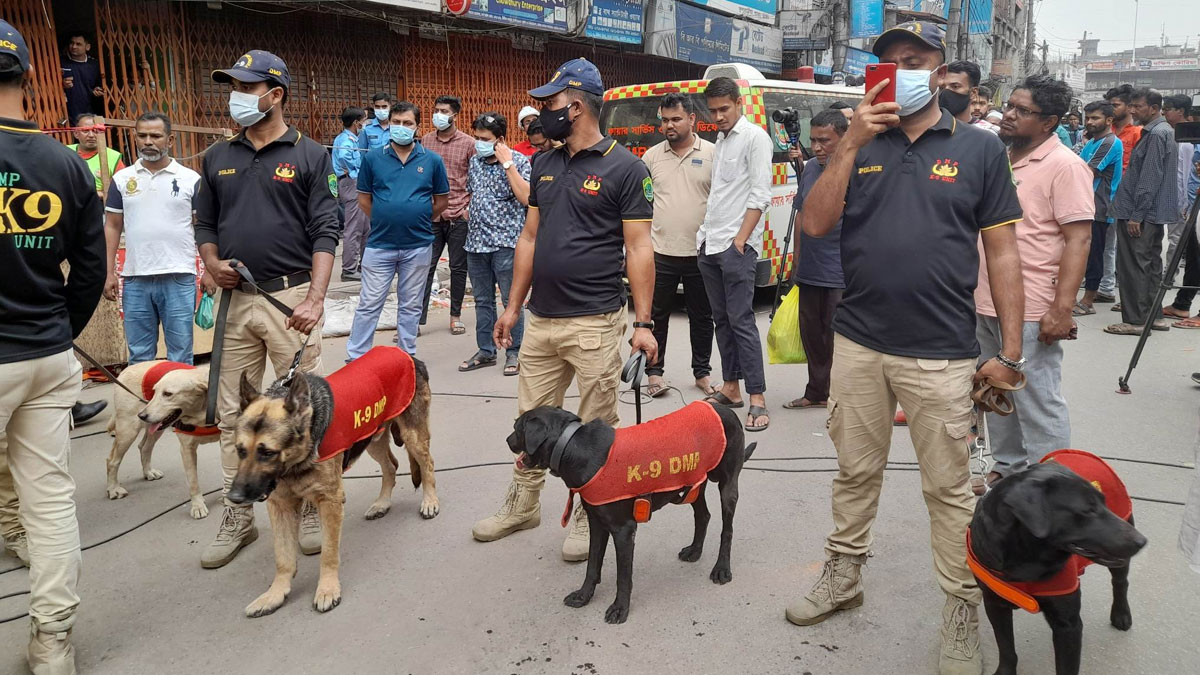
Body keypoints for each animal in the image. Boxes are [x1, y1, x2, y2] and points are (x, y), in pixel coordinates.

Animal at [226, 357, 434, 614]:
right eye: (240, 450)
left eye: (267, 453)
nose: (234, 497)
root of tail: (409, 356)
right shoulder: (281, 507)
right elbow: (283, 557)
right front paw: (275, 594)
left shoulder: (330, 502)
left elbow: (328, 553)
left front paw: (327, 590)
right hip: (371, 438)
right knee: (391, 466)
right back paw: (382, 503)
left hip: (412, 436)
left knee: (427, 464)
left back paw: (430, 501)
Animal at [511, 396, 753, 624]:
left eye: (517, 427)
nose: (507, 440)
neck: (573, 445)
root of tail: (727, 411)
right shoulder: (597, 523)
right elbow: (592, 566)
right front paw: (584, 595)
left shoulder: (624, 531)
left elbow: (623, 576)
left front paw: (620, 608)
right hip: (693, 484)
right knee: (703, 515)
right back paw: (695, 550)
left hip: (727, 486)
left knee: (727, 530)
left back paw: (722, 568)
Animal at [969, 456, 1147, 672]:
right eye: (1088, 510)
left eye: (1103, 503)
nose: (1142, 541)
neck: (1025, 557)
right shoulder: (994, 603)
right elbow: (1006, 648)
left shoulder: (1068, 624)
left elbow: (1065, 667)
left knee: (1120, 582)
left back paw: (1121, 614)